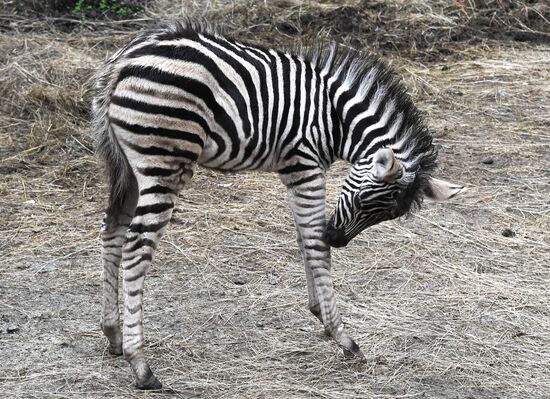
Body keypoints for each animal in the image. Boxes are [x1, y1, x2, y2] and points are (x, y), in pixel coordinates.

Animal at [94, 22, 466, 390]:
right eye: (363, 201)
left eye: (387, 216)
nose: (339, 239)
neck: (335, 118)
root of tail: (125, 59)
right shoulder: (305, 166)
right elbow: (315, 242)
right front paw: (342, 336)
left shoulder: (293, 171)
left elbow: (305, 237)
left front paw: (319, 311)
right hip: (164, 163)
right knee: (136, 245)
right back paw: (141, 365)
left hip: (125, 166)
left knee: (113, 231)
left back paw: (113, 335)